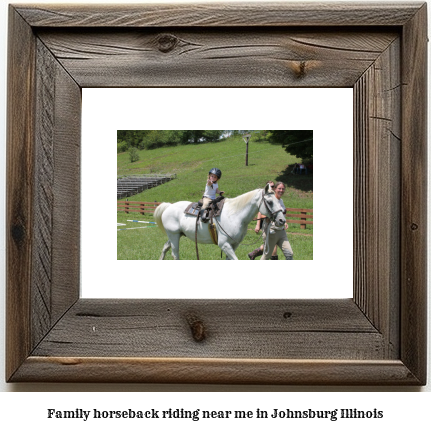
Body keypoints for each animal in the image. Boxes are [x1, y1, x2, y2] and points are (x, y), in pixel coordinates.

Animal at [154, 183, 286, 260]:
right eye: (269, 202)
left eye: (278, 200)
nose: (282, 220)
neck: (235, 215)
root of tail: (169, 206)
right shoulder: (224, 244)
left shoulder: (233, 245)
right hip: (174, 235)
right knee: (175, 254)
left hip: (176, 235)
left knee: (165, 248)